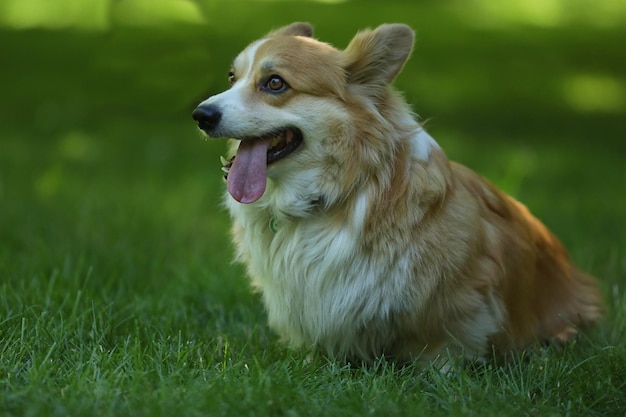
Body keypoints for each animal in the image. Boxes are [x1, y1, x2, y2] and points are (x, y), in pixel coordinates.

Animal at [190, 22, 600, 362]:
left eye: (275, 83)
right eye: (232, 77)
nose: (200, 115)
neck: (332, 195)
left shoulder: (463, 294)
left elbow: (442, 347)